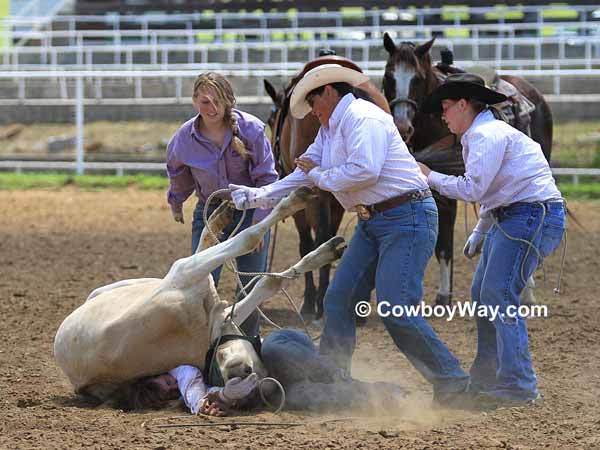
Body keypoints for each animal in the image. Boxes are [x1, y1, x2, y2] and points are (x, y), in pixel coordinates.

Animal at [54, 186, 344, 400]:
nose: (239, 371)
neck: (201, 331)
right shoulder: (187, 279)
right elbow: (249, 243)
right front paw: (296, 202)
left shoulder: (212, 303)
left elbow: (266, 278)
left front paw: (322, 251)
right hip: (165, 276)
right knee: (211, 247)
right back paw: (223, 215)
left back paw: (222, 216)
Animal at [264, 55, 392, 320]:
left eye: (272, 120)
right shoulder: (336, 202)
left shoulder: (309, 202)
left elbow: (307, 242)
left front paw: (310, 301)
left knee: (320, 237)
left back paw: (320, 302)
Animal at [382, 32, 556, 306]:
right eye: (389, 76)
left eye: (417, 79)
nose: (402, 125)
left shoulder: (448, 192)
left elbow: (443, 245)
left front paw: (444, 295)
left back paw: (527, 291)